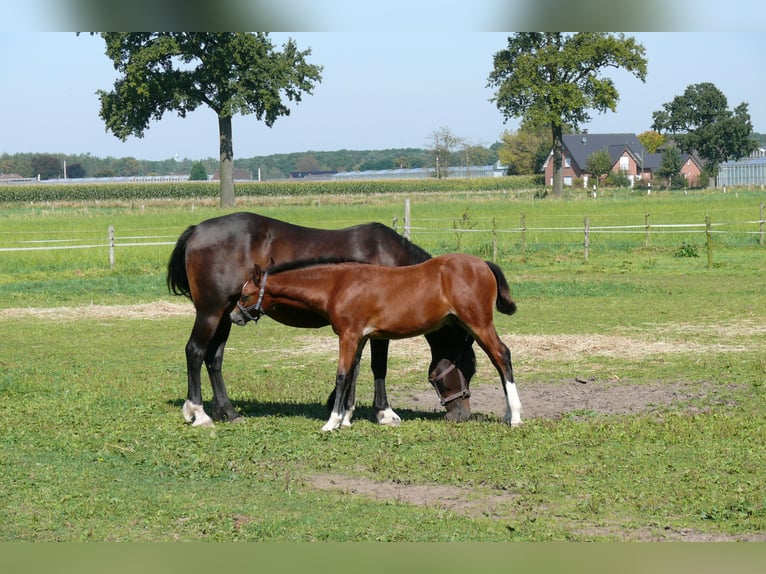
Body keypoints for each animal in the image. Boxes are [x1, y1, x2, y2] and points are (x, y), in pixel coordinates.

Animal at [168, 214, 476, 430]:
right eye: (469, 368)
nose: (462, 415)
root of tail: (197, 230)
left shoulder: (358, 328)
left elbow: (354, 367)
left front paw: (344, 411)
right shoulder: (378, 329)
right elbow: (377, 367)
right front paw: (383, 413)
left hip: (227, 315)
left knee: (214, 358)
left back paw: (228, 412)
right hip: (210, 312)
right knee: (195, 352)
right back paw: (198, 413)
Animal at [231, 253, 524, 432]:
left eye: (245, 295)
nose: (234, 316)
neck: (338, 285)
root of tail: (483, 264)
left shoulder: (348, 335)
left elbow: (342, 375)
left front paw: (332, 422)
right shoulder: (360, 337)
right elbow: (354, 373)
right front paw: (346, 419)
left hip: (478, 323)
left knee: (502, 355)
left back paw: (516, 417)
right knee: (497, 359)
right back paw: (508, 414)